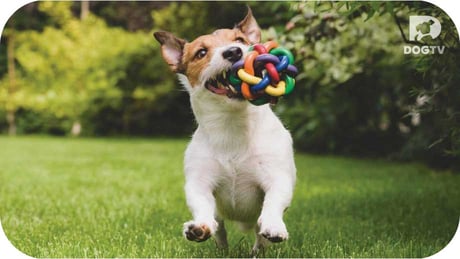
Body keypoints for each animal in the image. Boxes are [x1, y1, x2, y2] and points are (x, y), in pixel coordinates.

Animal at [155, 7, 296, 254]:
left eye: (239, 40)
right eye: (201, 53)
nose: (233, 52)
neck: (232, 125)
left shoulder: (277, 176)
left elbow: (274, 201)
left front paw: (274, 225)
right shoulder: (199, 182)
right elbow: (201, 204)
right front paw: (199, 227)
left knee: (259, 236)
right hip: (219, 217)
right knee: (219, 227)